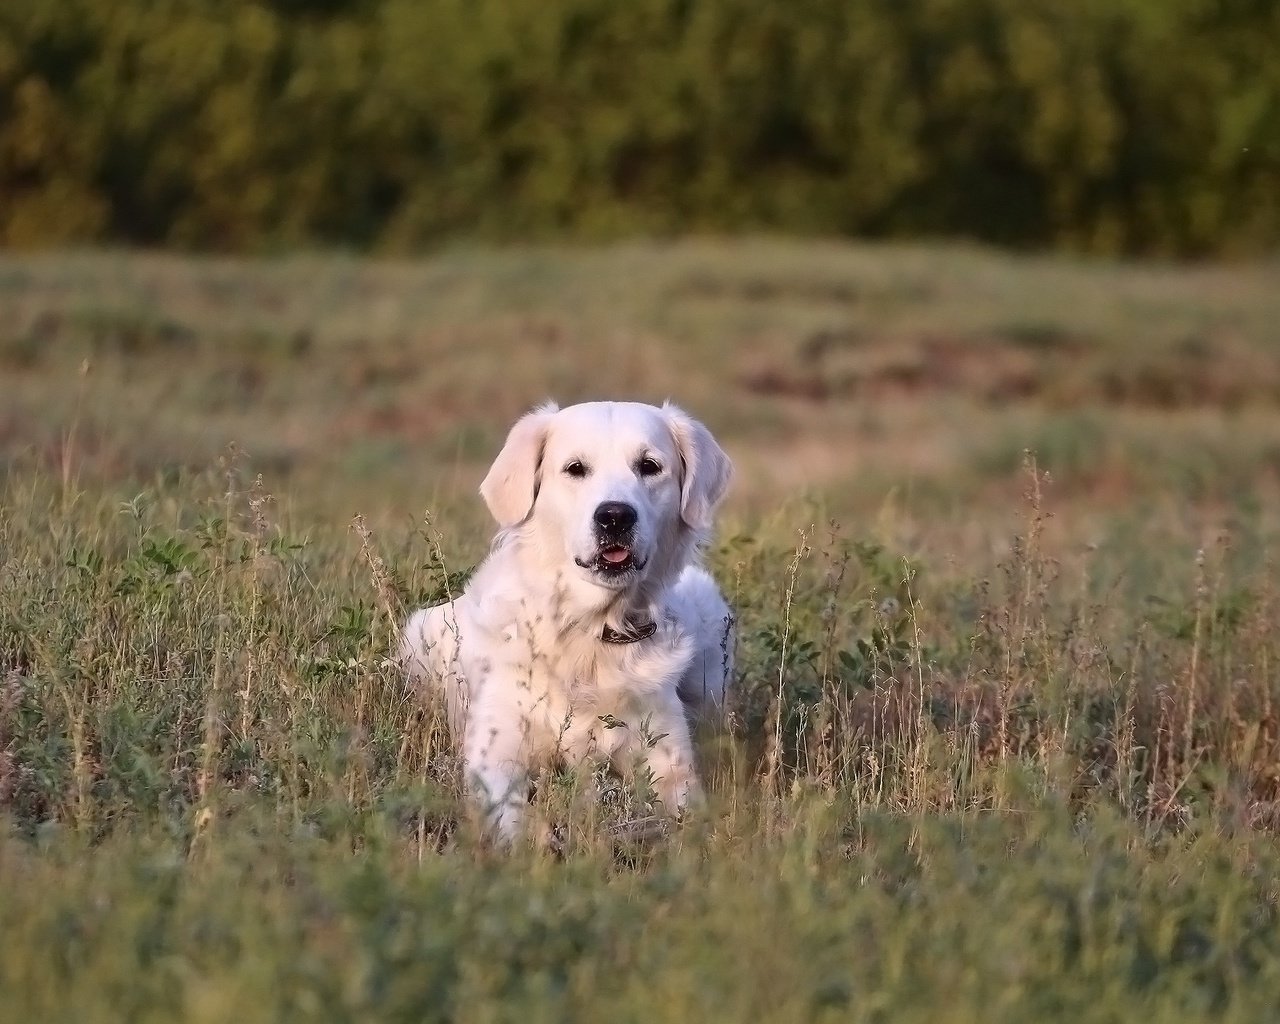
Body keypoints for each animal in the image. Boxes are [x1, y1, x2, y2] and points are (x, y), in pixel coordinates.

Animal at [394, 399, 737, 839]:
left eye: (649, 466)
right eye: (575, 468)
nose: (615, 516)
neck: (588, 631)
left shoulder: (667, 755)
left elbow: (689, 815)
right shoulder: (496, 752)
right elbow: (511, 818)